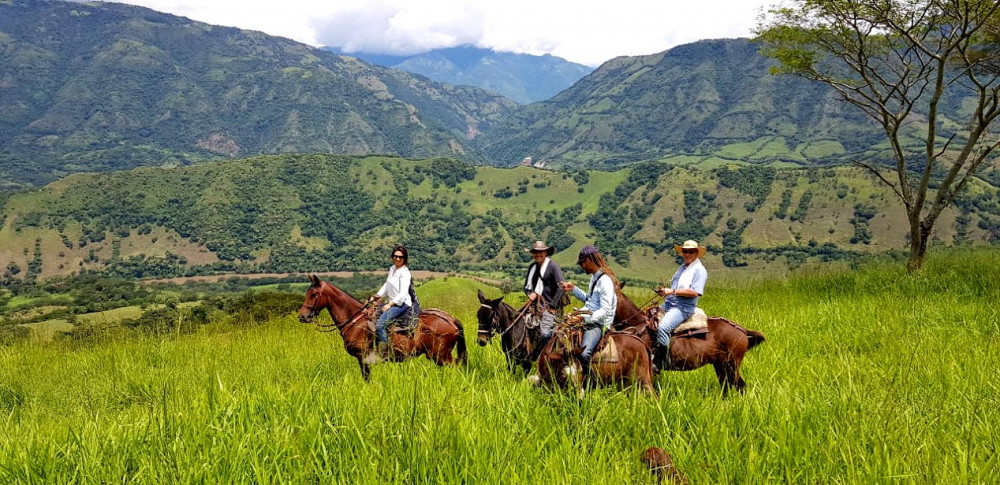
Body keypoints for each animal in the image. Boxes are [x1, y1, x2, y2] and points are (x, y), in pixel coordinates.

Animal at [296, 274, 468, 380]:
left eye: (313, 294)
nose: (302, 316)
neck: (355, 321)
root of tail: (451, 320)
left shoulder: (363, 357)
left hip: (441, 355)